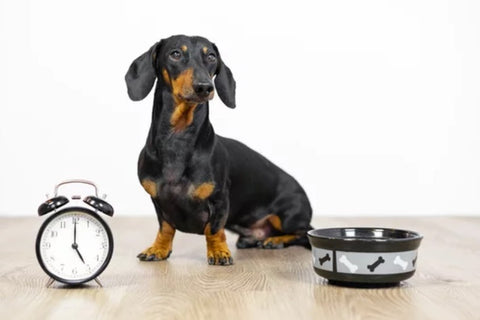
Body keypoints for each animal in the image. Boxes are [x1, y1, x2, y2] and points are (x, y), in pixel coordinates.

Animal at [124, 35, 312, 264]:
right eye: (175, 54)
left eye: (211, 56)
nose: (204, 87)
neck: (178, 138)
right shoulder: (159, 201)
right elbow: (166, 228)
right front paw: (158, 249)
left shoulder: (220, 200)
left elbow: (213, 229)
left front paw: (219, 252)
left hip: (287, 216)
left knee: (305, 233)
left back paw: (275, 240)